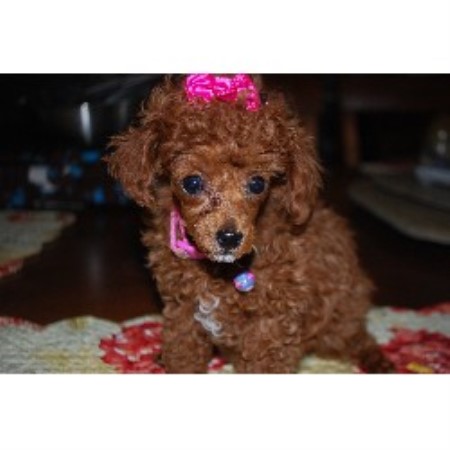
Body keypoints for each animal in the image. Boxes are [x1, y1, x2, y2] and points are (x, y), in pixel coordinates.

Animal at [106, 74, 393, 373]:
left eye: (257, 184)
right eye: (192, 183)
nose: (230, 238)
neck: (219, 270)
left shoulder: (274, 320)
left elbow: (265, 363)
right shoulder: (183, 309)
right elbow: (183, 351)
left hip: (340, 318)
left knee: (356, 338)